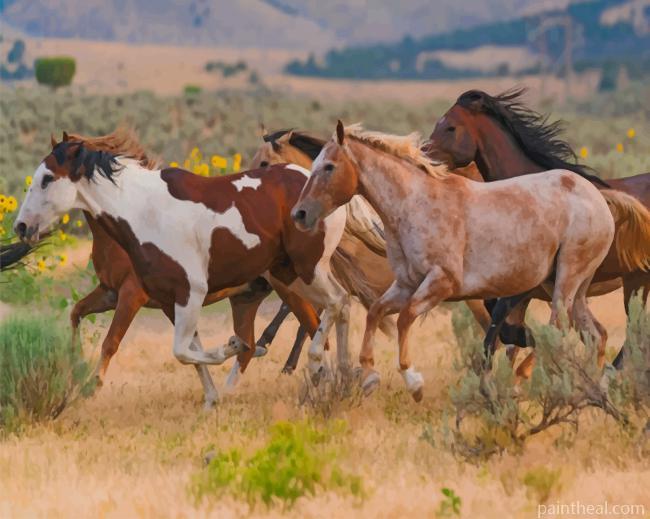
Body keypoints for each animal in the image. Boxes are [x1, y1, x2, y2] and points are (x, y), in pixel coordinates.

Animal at [14, 133, 352, 407]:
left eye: (47, 179)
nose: (21, 227)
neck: (144, 212)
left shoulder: (177, 293)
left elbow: (177, 350)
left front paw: (227, 348)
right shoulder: (165, 299)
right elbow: (190, 352)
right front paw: (212, 398)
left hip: (306, 271)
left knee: (334, 305)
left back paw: (323, 373)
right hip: (275, 283)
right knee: (330, 312)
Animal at [293, 121, 615, 401]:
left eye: (329, 166)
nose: (300, 214)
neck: (415, 205)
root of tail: (597, 199)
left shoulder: (441, 282)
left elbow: (405, 318)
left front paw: (413, 382)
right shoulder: (406, 284)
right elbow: (375, 313)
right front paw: (370, 376)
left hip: (565, 281)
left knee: (558, 328)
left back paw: (521, 381)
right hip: (569, 286)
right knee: (596, 334)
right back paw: (592, 391)